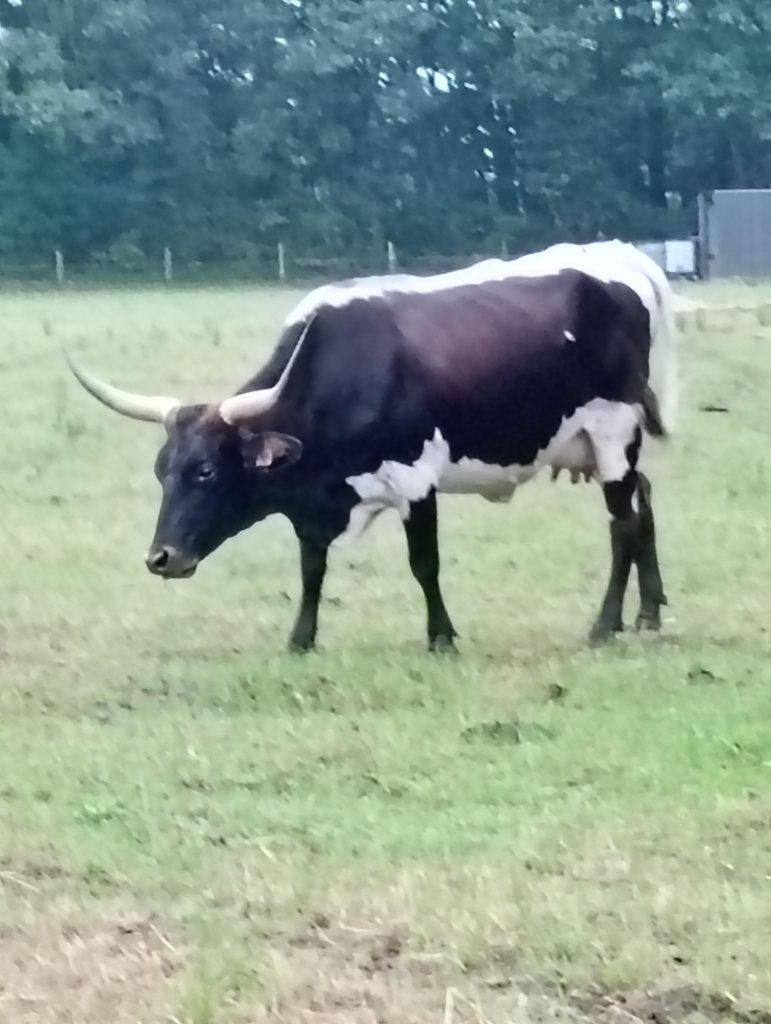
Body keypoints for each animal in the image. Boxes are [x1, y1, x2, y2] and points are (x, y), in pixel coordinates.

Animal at [65, 240, 677, 652]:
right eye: (161, 470)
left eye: (206, 472)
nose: (160, 558)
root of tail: (623, 258)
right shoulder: (311, 504)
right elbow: (311, 569)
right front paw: (301, 640)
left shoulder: (414, 480)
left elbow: (424, 563)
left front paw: (441, 637)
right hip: (595, 446)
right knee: (645, 501)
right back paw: (648, 612)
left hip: (613, 433)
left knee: (622, 524)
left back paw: (604, 625)